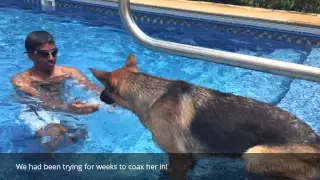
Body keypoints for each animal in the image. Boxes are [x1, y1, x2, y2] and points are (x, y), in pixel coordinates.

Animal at [89, 53, 320, 180]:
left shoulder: (178, 154)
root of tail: (314, 139)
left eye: (104, 88)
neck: (153, 96)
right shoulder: (185, 155)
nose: (99, 97)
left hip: (255, 155)